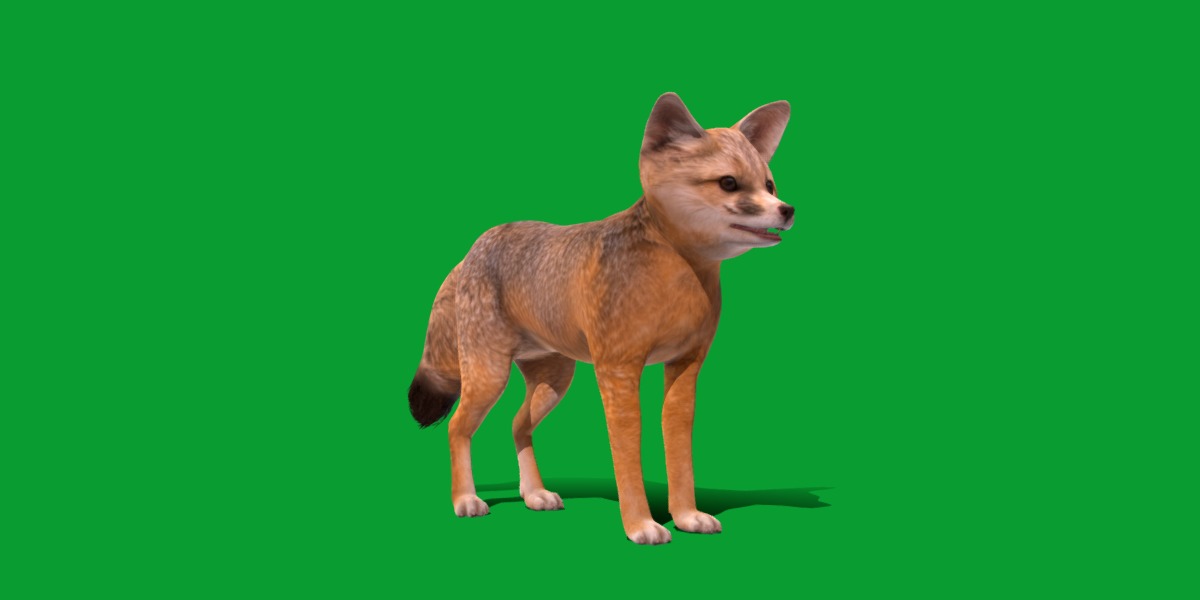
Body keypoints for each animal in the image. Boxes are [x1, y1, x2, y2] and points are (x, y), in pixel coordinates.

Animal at [408, 92, 793, 545]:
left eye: (769, 185)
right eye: (729, 183)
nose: (787, 210)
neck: (680, 281)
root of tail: (477, 245)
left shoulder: (685, 368)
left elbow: (679, 452)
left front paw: (686, 516)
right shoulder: (618, 370)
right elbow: (628, 450)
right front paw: (640, 524)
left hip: (554, 384)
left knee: (517, 427)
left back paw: (534, 494)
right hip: (490, 377)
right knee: (458, 428)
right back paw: (466, 500)